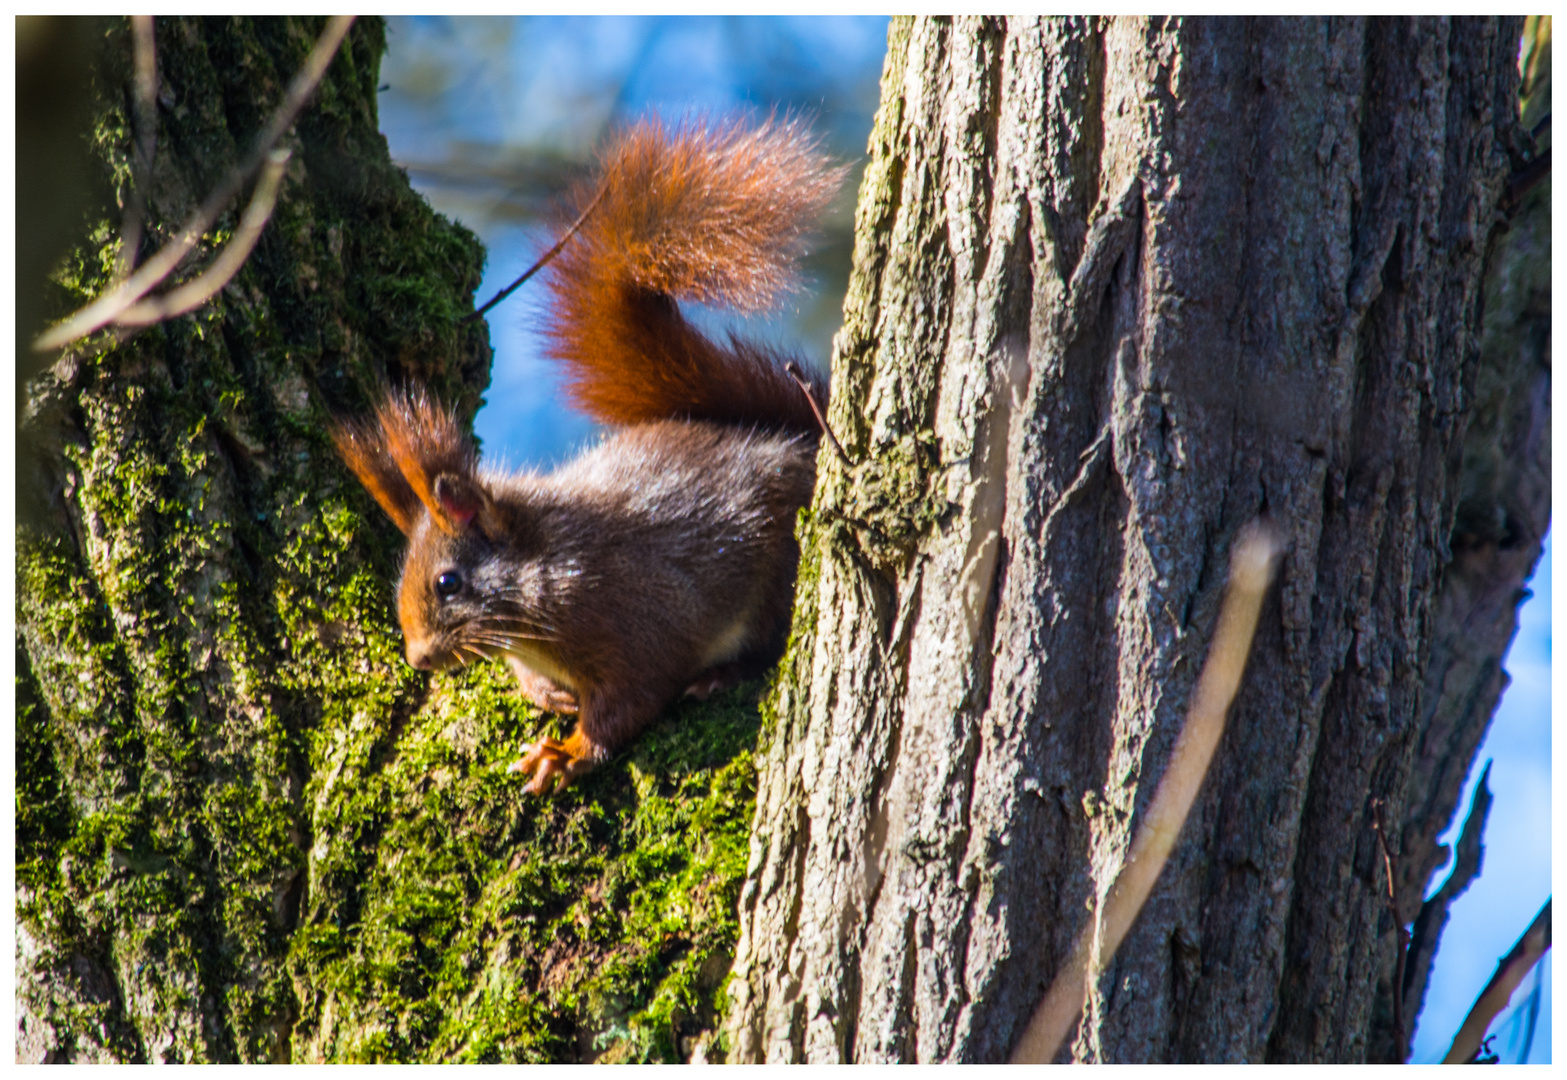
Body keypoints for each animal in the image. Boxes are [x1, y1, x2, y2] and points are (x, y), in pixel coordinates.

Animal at [332, 117, 846, 793]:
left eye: (448, 583)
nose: (418, 658)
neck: (548, 568)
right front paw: (544, 692)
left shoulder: (632, 618)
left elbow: (631, 699)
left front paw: (567, 752)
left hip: (777, 575)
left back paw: (722, 674)